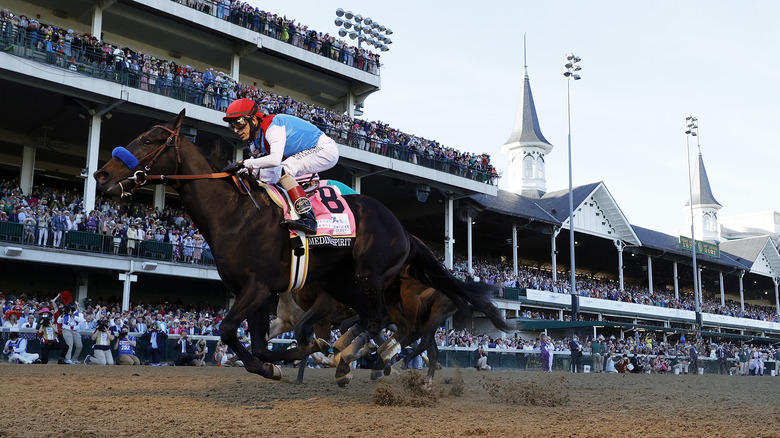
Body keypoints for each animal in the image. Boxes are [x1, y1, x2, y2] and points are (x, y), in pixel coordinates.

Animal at [94, 109, 512, 384]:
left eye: (150, 139)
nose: (101, 174)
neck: (235, 213)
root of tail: (406, 232)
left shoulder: (259, 286)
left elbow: (229, 329)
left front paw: (300, 357)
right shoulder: (259, 293)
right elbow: (259, 343)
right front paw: (279, 363)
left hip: (372, 277)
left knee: (389, 324)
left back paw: (363, 361)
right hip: (346, 284)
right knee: (382, 324)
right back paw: (354, 359)